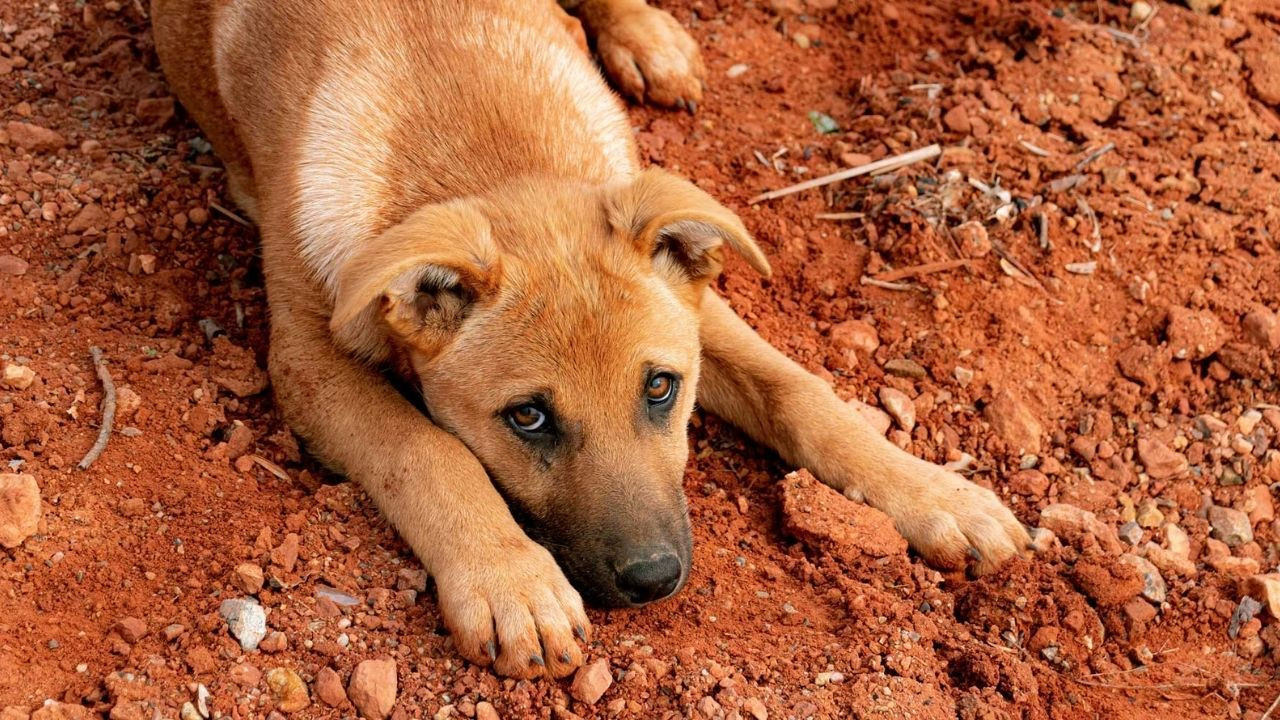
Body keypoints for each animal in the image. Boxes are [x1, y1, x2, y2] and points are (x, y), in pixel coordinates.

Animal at [149, 0, 1029, 676]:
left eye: (661, 387)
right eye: (528, 417)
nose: (654, 581)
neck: (483, 146)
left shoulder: (697, 310)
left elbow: (801, 392)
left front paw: (936, 495)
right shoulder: (306, 359)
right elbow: (427, 452)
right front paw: (511, 583)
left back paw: (649, 41)